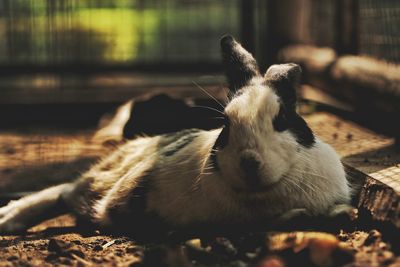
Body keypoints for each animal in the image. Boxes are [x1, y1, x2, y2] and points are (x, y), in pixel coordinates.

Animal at [0, 35, 350, 237]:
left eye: (282, 119)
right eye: (226, 123)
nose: (249, 163)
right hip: (98, 181)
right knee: (62, 192)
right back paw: (10, 219)